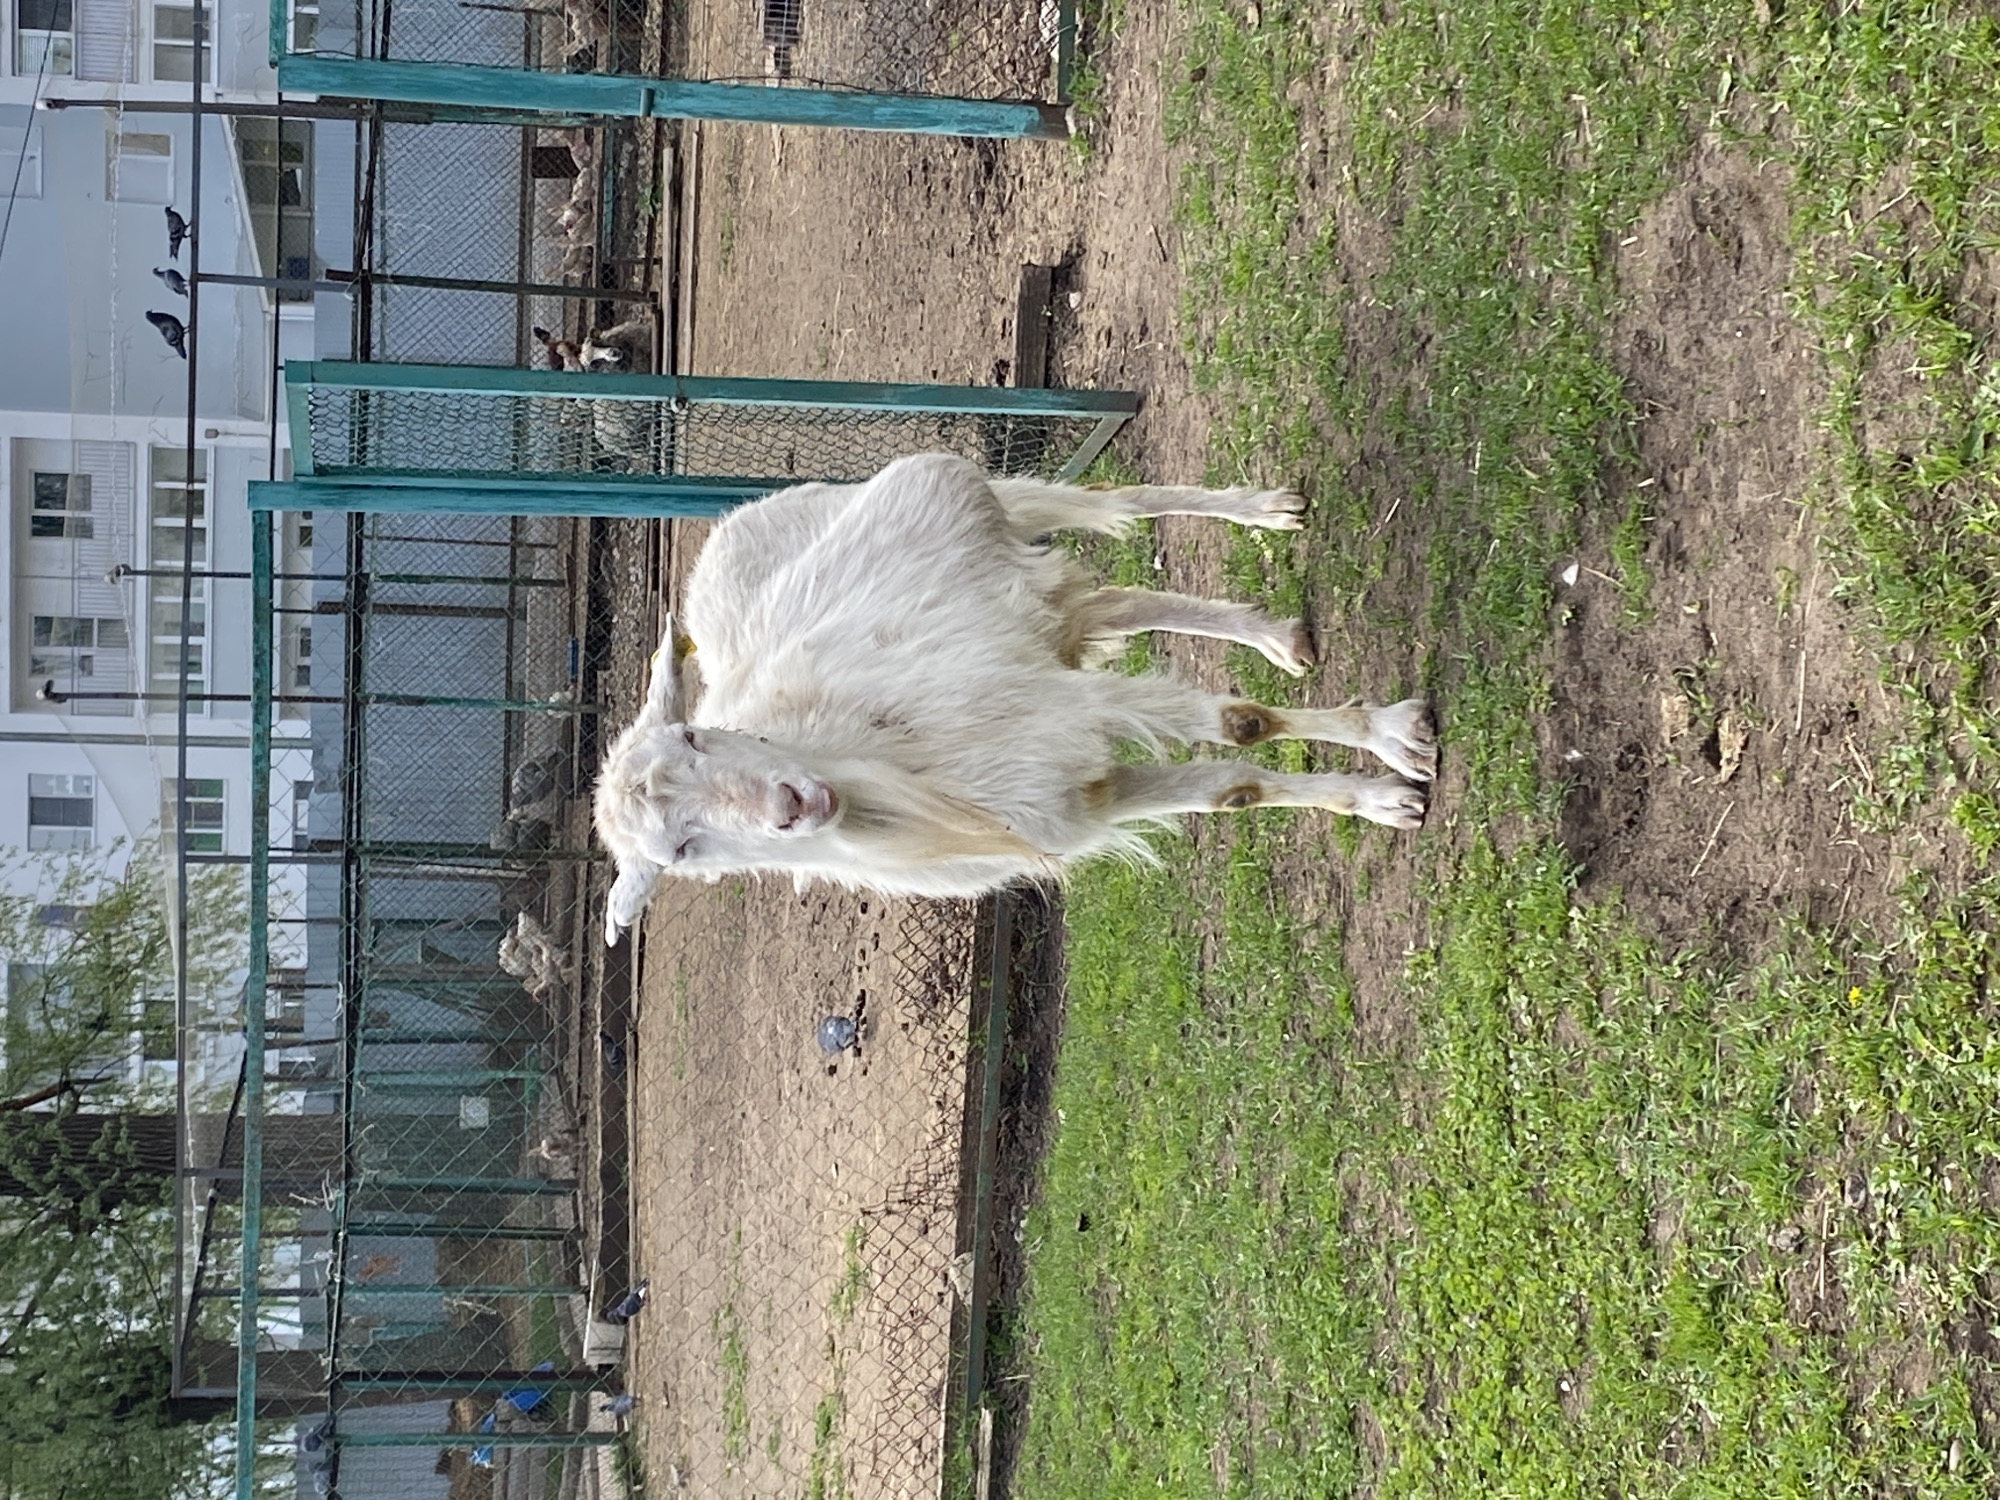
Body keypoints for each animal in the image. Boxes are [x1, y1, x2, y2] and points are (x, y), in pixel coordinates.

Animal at [594, 455, 1436, 943]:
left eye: (697, 738)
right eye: (680, 853)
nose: (791, 807)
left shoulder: (1058, 704)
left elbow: (1241, 724)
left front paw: (1398, 738)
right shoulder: (1071, 802)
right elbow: (1233, 786)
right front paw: (1385, 800)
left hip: (988, 496)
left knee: (1115, 499)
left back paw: (1266, 512)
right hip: (1029, 608)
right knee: (1116, 603)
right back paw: (1276, 637)